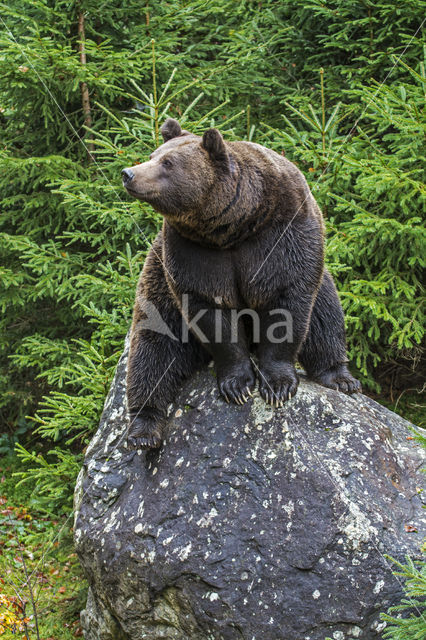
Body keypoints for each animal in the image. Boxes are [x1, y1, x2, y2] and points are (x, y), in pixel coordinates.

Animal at [122, 120, 360, 450]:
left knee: (326, 317)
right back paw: (144, 430)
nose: (128, 173)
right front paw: (238, 385)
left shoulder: (283, 237)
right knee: (151, 350)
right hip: (158, 286)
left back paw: (340, 377)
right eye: (152, 155)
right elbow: (211, 314)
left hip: (322, 278)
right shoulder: (192, 253)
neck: (231, 226)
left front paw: (278, 385)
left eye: (167, 162)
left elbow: (287, 303)